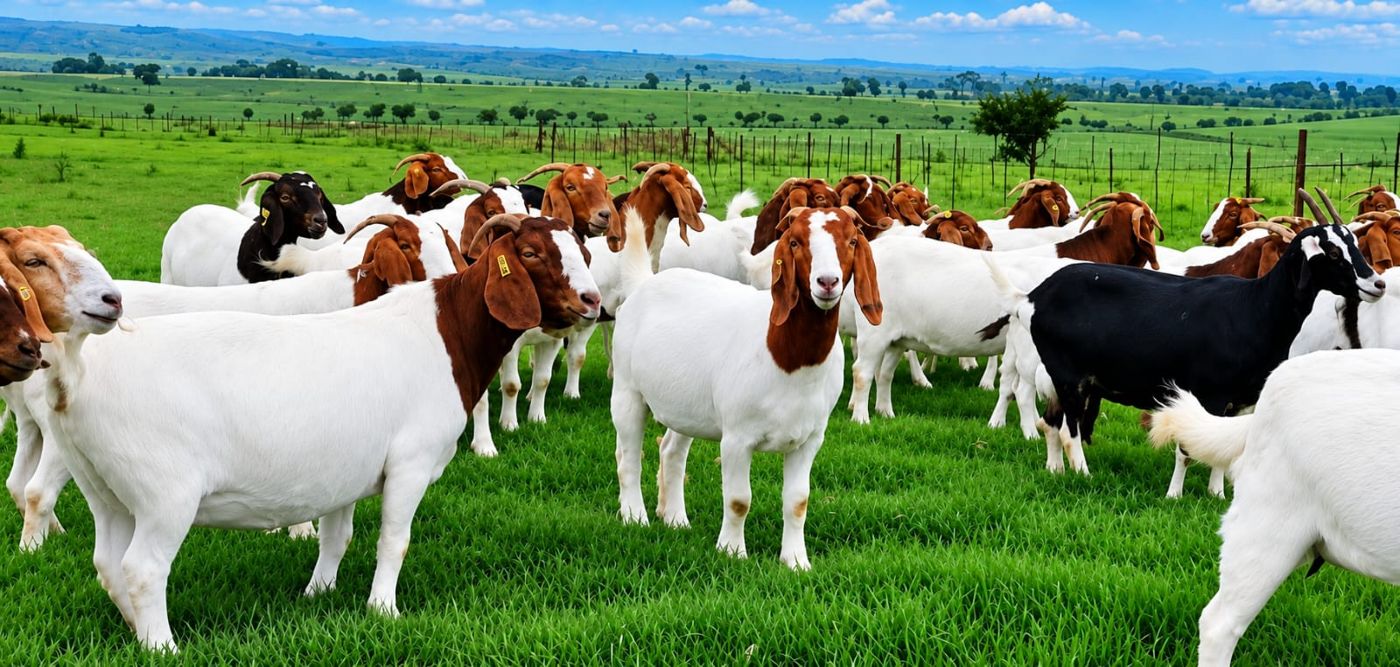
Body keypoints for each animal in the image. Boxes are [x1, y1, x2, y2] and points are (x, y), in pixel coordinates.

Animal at [40, 214, 600, 652]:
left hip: (104, 488)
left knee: (109, 564)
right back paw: (162, 646)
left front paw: (319, 594)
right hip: (164, 494)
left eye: (581, 250)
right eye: (530, 252)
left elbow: (337, 538)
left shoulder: (345, 473)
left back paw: (135, 630)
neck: (445, 332)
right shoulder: (411, 463)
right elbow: (395, 541)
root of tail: (75, 377)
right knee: (143, 568)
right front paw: (383, 609)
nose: (592, 301)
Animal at [611, 206, 882, 570]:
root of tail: (645, 283)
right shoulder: (737, 438)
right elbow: (739, 500)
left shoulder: (810, 439)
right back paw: (634, 516)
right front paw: (732, 552)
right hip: (627, 391)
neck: (786, 358)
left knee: (671, 451)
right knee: (628, 456)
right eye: (795, 242)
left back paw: (676, 519)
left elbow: (798, 502)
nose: (827, 282)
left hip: (686, 405)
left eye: (852, 241)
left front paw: (796, 561)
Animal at [992, 190, 1384, 476]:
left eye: (1354, 244)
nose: (1377, 283)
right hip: (1069, 375)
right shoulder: (1210, 394)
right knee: (1068, 430)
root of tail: (1033, 297)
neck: (1254, 308)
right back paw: (1083, 474)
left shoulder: (1237, 401)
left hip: (1068, 379)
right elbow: (1191, 447)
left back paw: (1055, 470)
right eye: (1332, 250)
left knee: (1051, 422)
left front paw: (1216, 493)